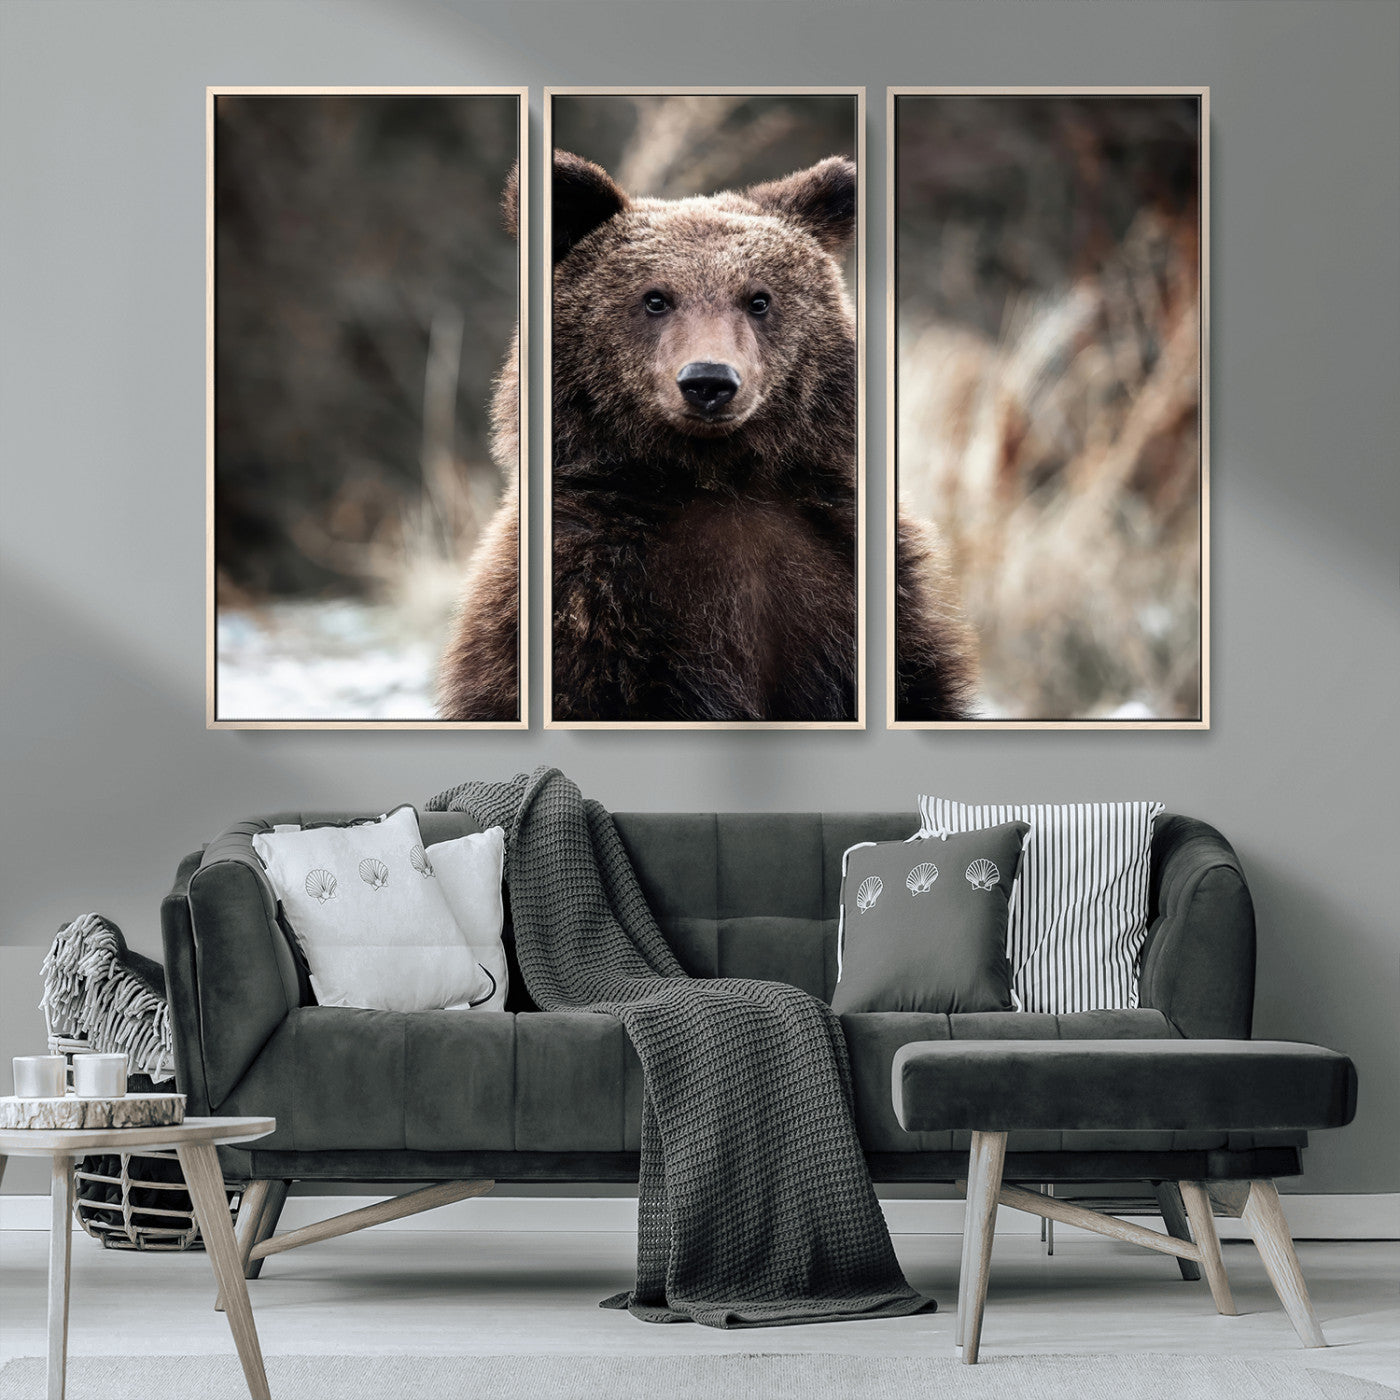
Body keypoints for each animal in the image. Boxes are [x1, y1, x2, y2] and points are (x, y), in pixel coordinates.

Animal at [437, 152, 976, 723]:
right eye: (655, 298)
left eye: (758, 299)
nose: (709, 381)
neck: (715, 475)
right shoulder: (588, 593)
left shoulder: (846, 571)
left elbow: (919, 685)